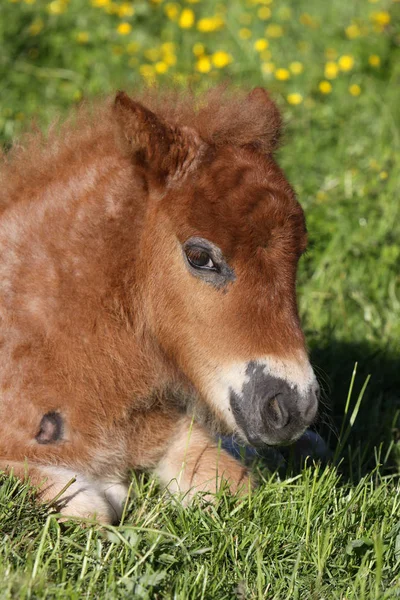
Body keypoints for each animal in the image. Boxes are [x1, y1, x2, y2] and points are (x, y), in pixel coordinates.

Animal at [0, 86, 318, 524]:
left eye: (299, 253)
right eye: (200, 256)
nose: (292, 408)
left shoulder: (163, 429)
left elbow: (229, 485)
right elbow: (86, 504)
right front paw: (107, 490)